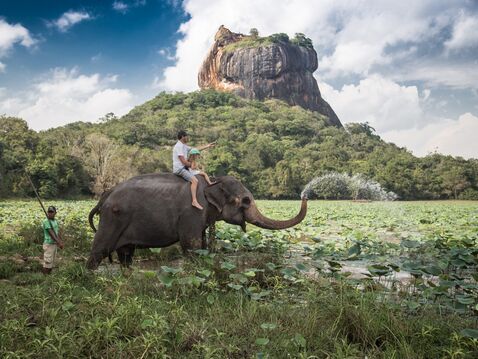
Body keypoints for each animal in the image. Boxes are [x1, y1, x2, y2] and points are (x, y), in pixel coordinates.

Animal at [85, 174, 306, 270]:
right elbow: (191, 245)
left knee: (126, 255)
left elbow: (202, 245)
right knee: (99, 251)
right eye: (245, 201)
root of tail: (105, 196)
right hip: (112, 219)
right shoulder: (191, 213)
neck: (213, 182)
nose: (305, 195)